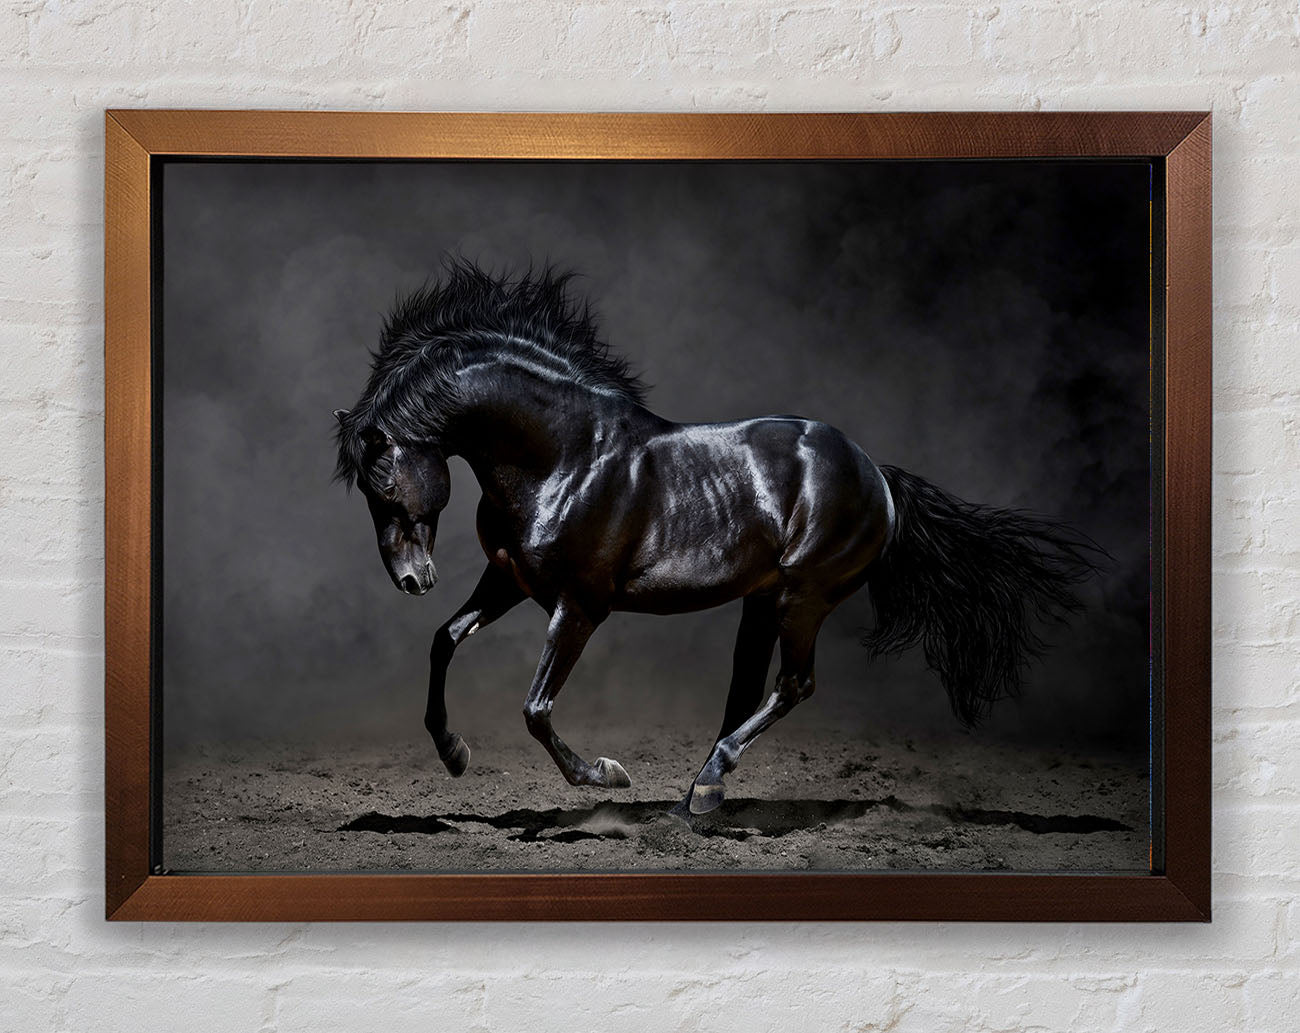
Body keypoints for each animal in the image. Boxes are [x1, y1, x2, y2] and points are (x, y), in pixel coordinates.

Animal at [334, 260, 1100, 814]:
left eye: (384, 486)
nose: (411, 579)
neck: (564, 456)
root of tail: (876, 473)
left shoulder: (579, 605)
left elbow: (535, 707)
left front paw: (605, 775)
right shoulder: (510, 580)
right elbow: (444, 640)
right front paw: (453, 751)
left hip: (803, 597)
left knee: (793, 685)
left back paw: (705, 787)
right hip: (763, 600)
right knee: (748, 690)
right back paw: (700, 793)